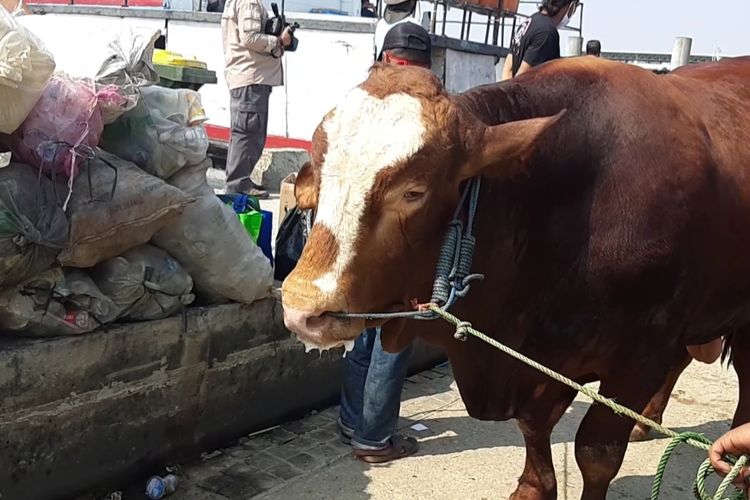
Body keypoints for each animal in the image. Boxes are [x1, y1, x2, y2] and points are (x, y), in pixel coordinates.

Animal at [282, 56, 750, 498]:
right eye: (319, 178)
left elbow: (596, 452)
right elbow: (534, 426)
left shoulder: (642, 353)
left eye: (414, 191)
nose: (302, 308)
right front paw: (533, 486)